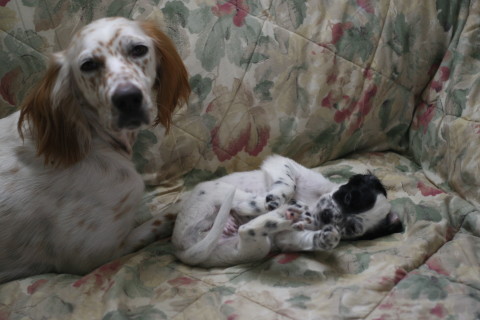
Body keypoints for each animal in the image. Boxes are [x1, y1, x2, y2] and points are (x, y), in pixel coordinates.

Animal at [0, 16, 191, 282]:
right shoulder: (92, 256)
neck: (91, 140)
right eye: (88, 65)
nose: (127, 98)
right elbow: (160, 218)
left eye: (138, 49)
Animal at [172, 155, 402, 268]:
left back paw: (280, 216)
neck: (313, 203)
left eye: (351, 228)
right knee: (242, 203)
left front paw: (325, 238)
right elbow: (288, 183)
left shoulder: (286, 239)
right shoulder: (284, 163)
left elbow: (308, 239)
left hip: (253, 248)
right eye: (348, 198)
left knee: (247, 230)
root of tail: (182, 249)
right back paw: (264, 205)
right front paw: (276, 197)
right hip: (219, 191)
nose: (327, 216)